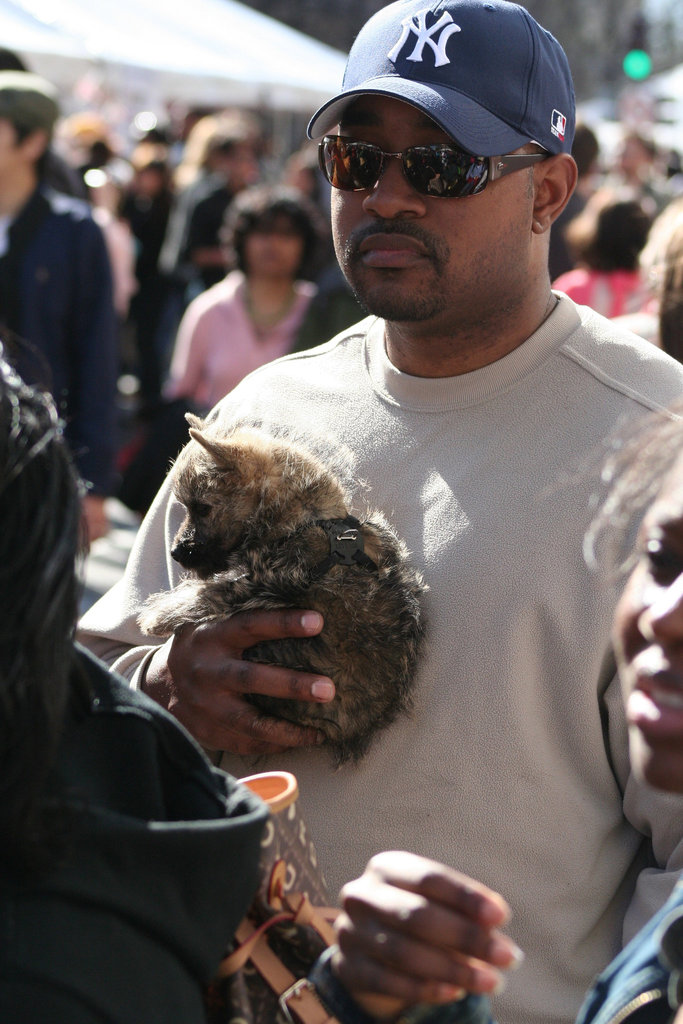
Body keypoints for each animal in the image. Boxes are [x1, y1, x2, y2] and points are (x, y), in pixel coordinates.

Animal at [139, 413, 428, 761]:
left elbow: (208, 594)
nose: (176, 552)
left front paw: (157, 616)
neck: (303, 521)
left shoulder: (262, 582)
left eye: (203, 508)